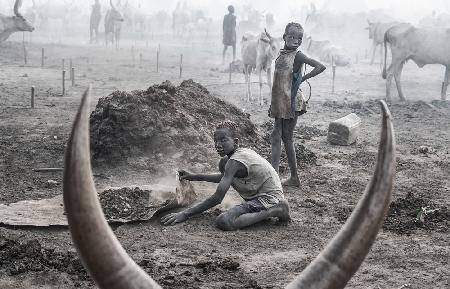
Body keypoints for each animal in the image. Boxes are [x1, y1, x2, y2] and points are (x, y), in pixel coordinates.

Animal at [62, 85, 394, 288]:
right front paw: (187, 175)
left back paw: (282, 210)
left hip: (259, 202)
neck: (236, 149)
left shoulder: (233, 164)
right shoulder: (225, 161)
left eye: (222, 137)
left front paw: (178, 214)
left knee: (231, 216)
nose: (219, 145)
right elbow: (214, 178)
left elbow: (221, 192)